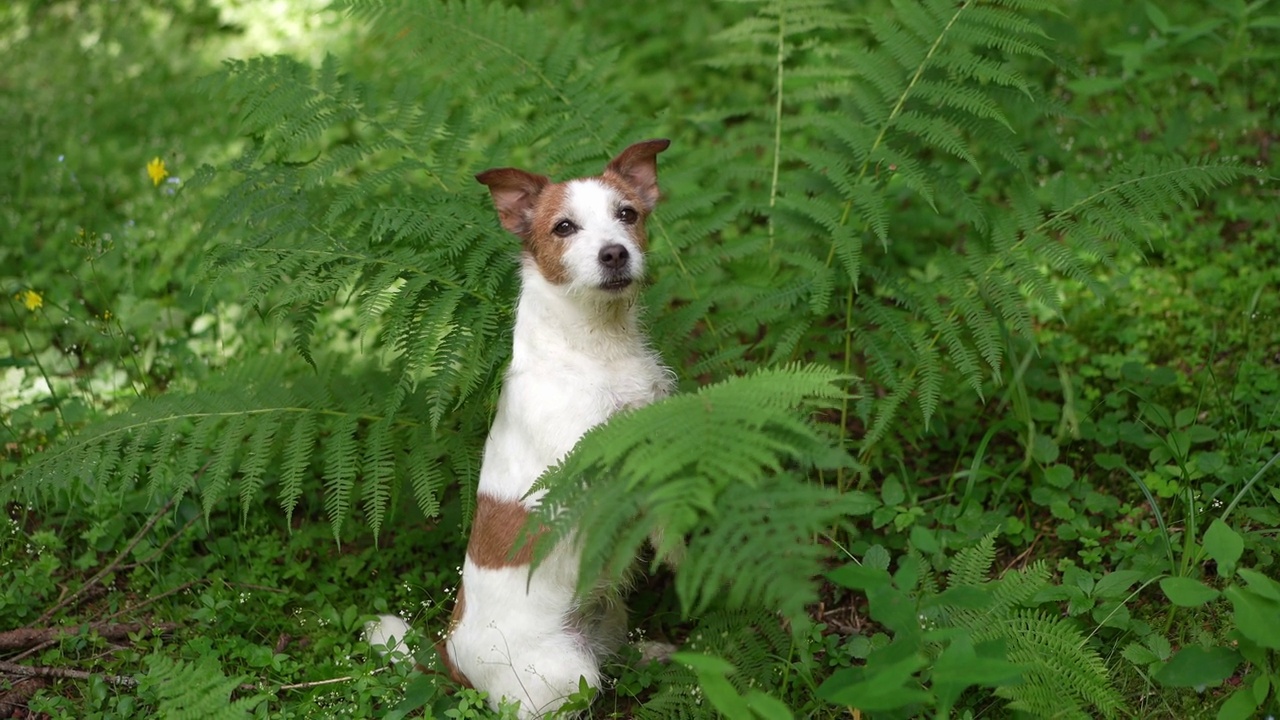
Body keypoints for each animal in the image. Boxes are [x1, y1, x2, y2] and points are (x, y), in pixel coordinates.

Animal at [368, 137, 675, 712]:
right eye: (563, 227)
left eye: (627, 214)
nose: (615, 253)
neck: (594, 347)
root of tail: (450, 654)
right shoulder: (588, 467)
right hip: (567, 676)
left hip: (608, 616)